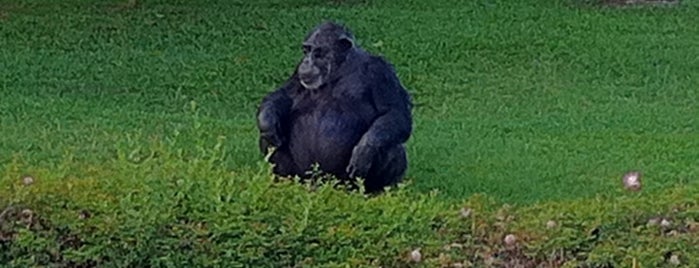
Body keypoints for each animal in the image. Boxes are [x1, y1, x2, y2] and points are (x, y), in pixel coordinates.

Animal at [258, 20, 412, 193]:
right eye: (306, 50)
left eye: (317, 52)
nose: (306, 61)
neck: (339, 69)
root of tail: (319, 185)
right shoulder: (297, 72)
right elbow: (285, 95)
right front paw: (267, 120)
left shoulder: (381, 71)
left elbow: (394, 113)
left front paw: (365, 149)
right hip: (303, 176)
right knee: (269, 137)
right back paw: (283, 182)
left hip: (345, 182)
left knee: (392, 146)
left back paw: (376, 191)